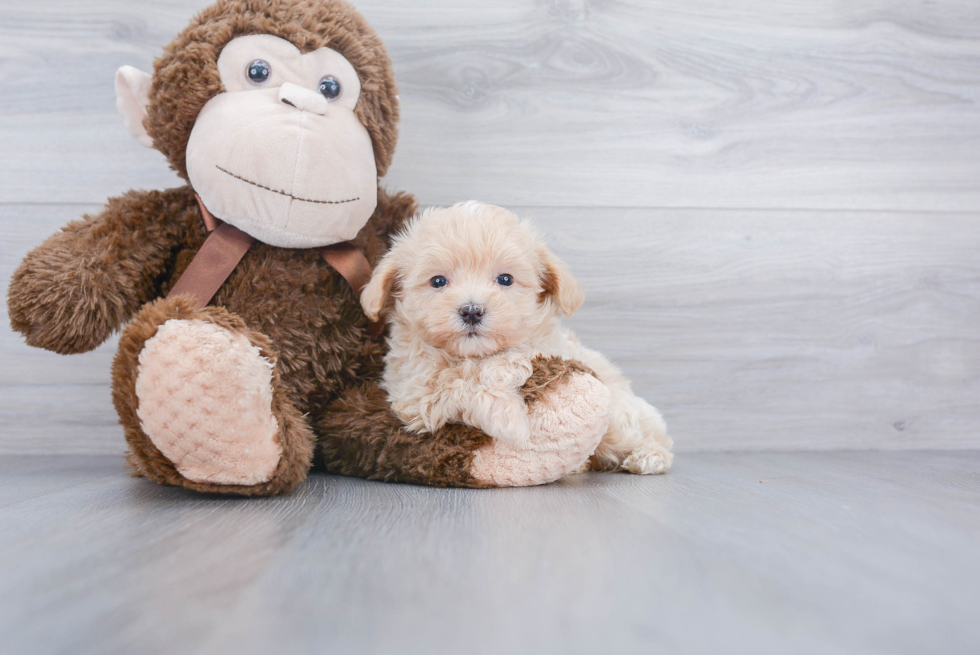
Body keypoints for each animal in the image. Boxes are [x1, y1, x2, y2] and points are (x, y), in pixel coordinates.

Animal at [360, 202, 672, 474]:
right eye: (438, 281)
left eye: (505, 279)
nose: (471, 311)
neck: (473, 354)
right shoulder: (412, 392)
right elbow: (455, 383)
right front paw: (508, 416)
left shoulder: (551, 350)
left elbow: (510, 360)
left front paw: (507, 369)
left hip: (619, 418)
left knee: (646, 437)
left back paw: (649, 456)